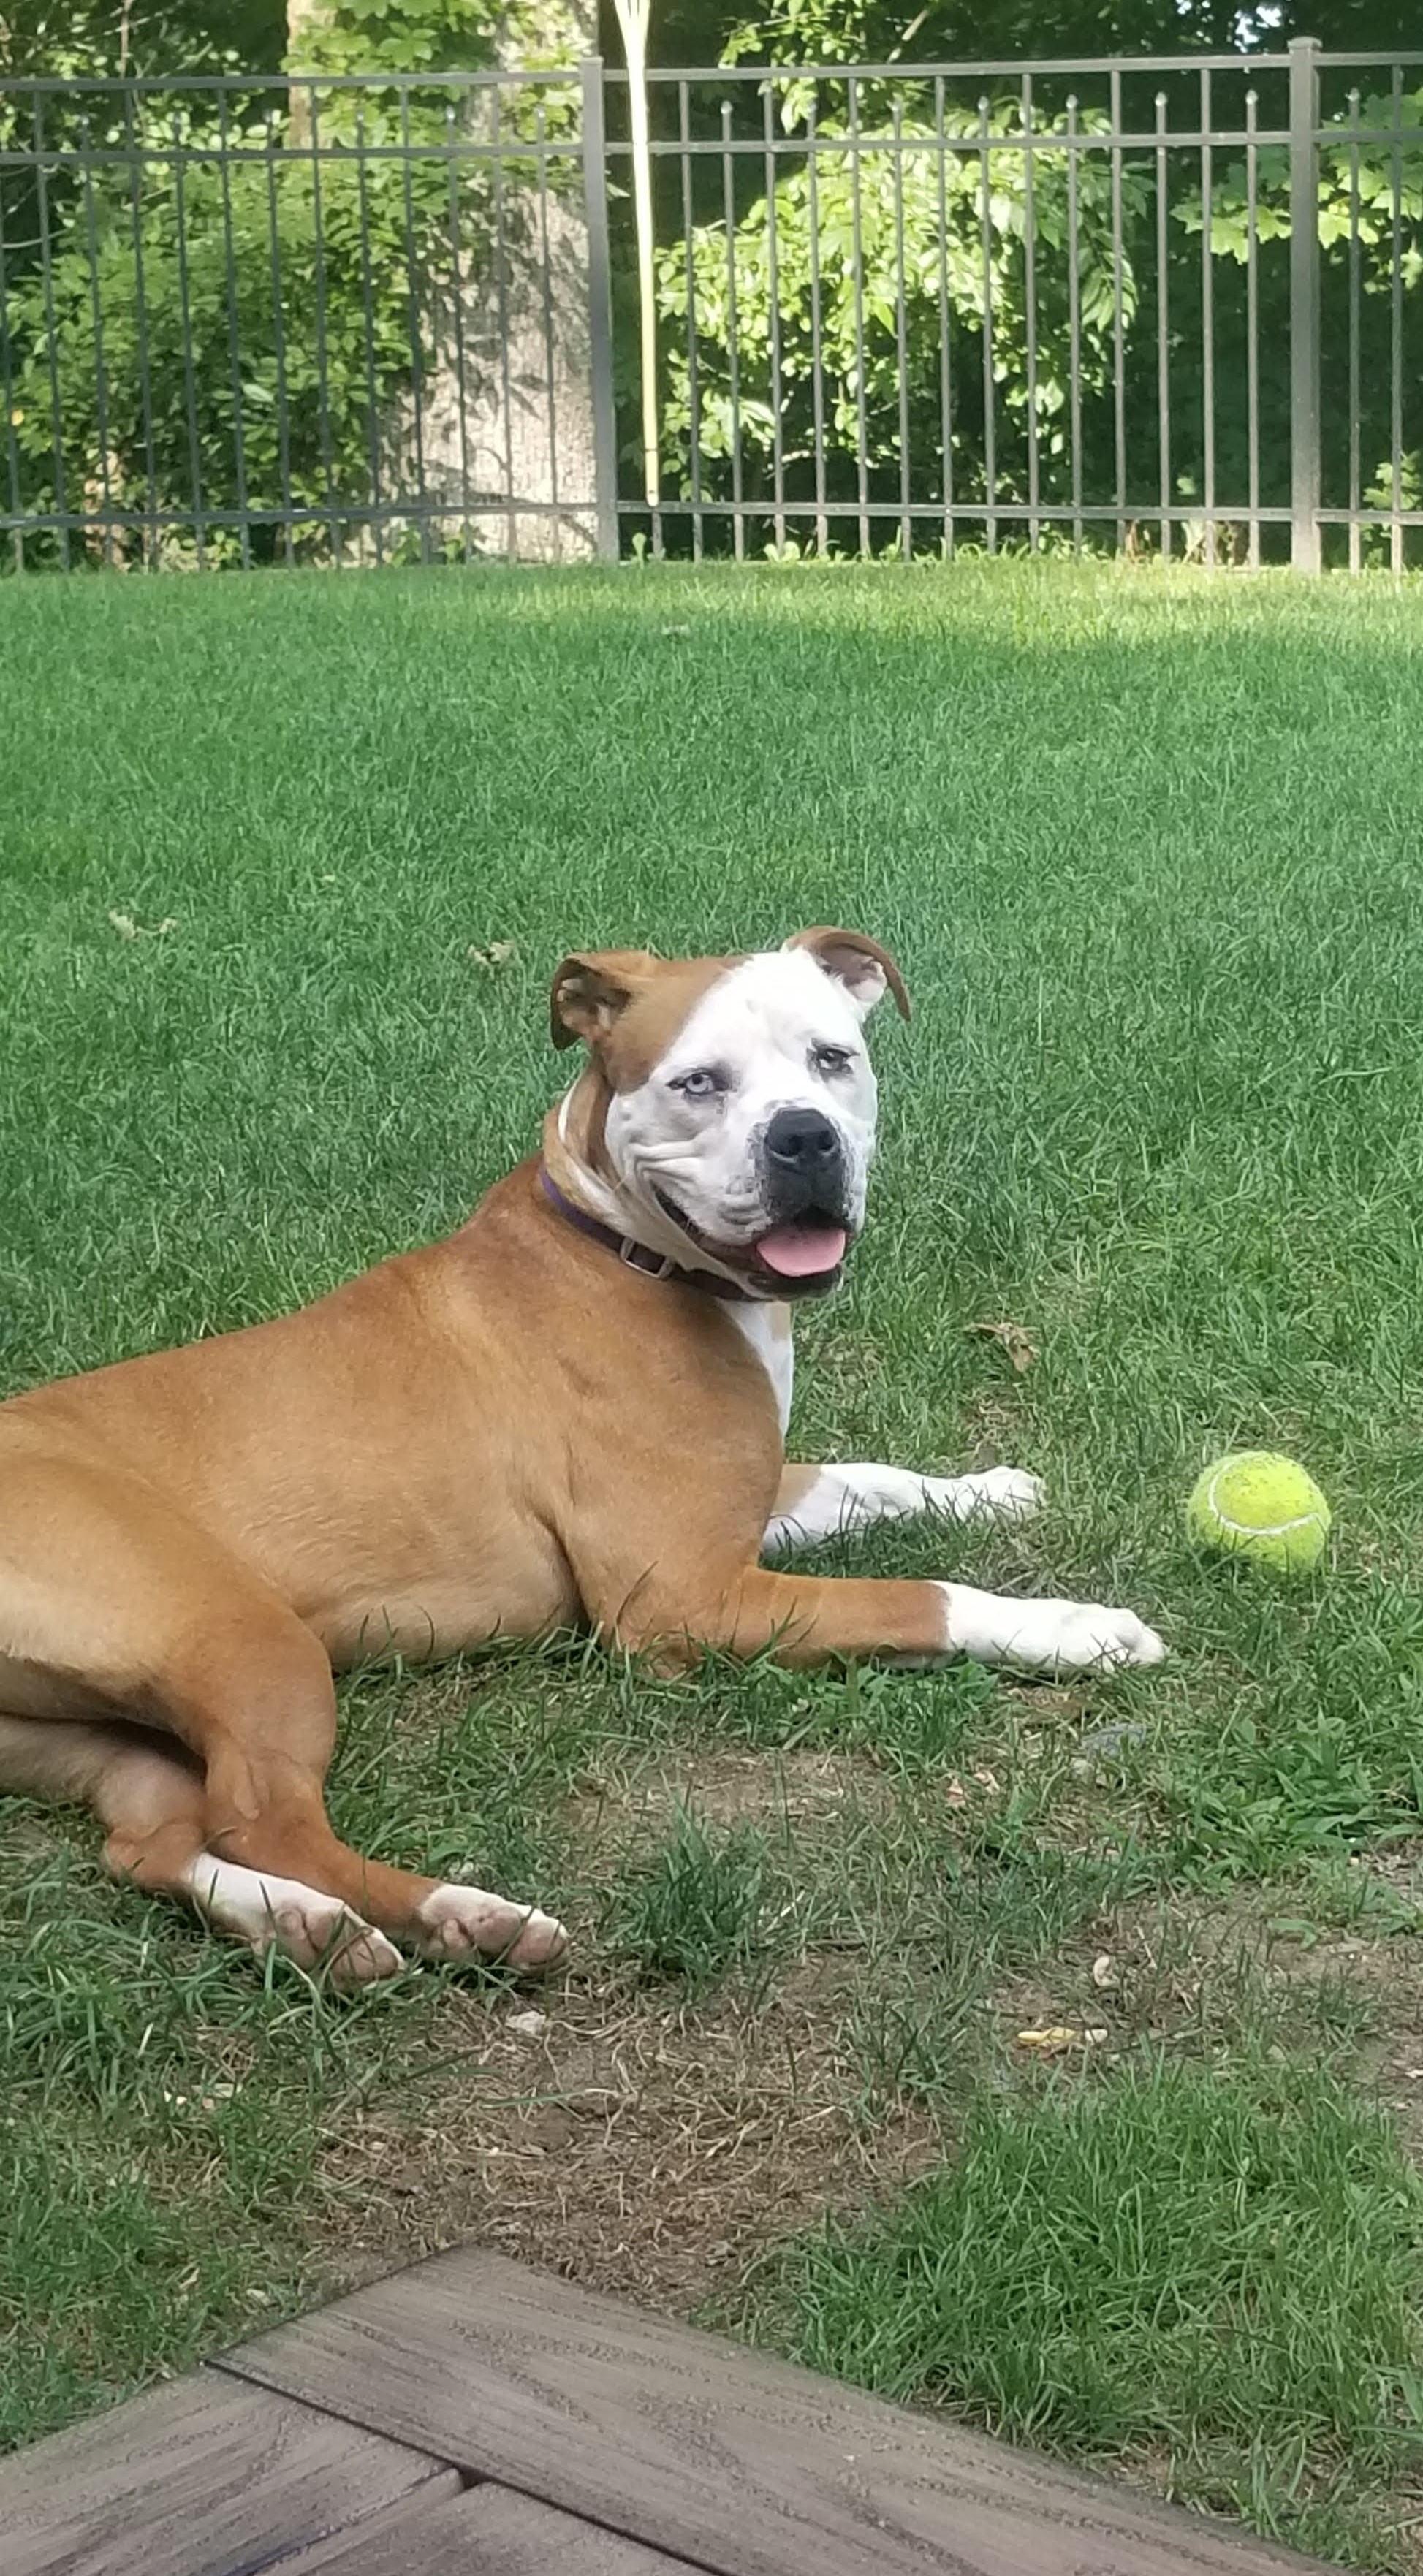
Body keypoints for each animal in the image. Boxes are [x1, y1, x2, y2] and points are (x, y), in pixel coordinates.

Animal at [0, 928, 1163, 1983]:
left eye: (832, 1058)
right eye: (698, 1083)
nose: (802, 1137)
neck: (624, 1245)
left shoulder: (740, 1516)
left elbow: (873, 1480)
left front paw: (990, 1491)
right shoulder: (682, 1600)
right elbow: (917, 1596)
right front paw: (1075, 1627)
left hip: (107, 1735)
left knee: (151, 1842)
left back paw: (305, 1926)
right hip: (246, 1639)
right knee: (260, 1821)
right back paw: (445, 1916)